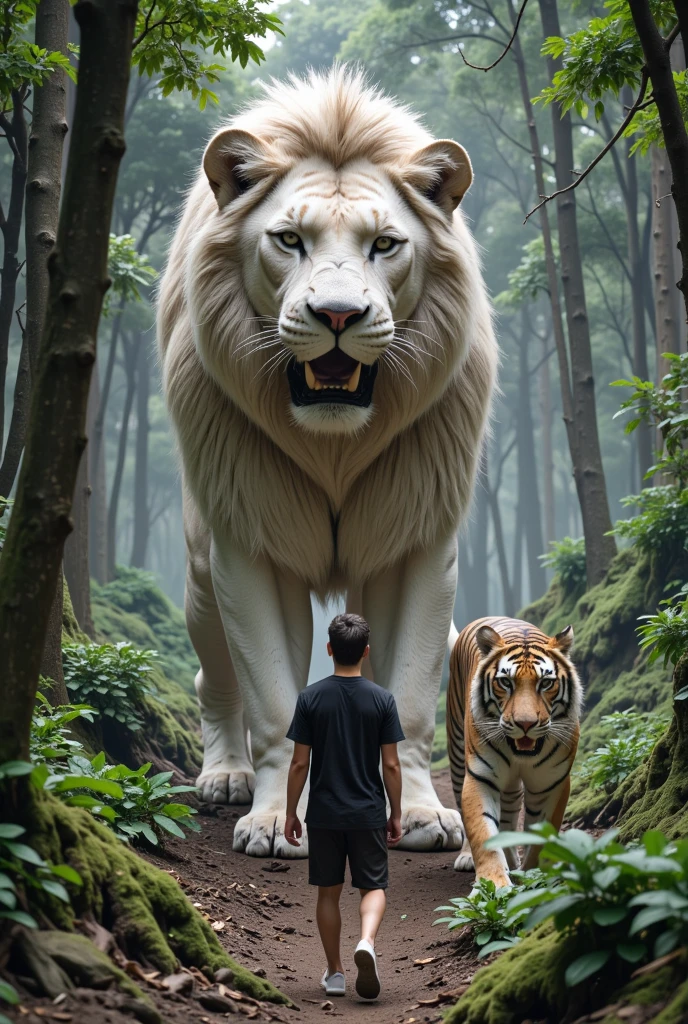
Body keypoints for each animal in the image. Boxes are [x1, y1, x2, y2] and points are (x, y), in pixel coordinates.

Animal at [158, 68, 497, 860]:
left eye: (384, 244)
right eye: (289, 240)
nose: (338, 315)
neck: (335, 441)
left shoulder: (417, 539)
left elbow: (409, 696)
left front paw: (424, 816)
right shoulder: (249, 540)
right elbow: (275, 702)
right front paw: (270, 822)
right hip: (199, 567)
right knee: (213, 678)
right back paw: (225, 776)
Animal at [446, 614, 581, 888]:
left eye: (546, 683)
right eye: (505, 682)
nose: (525, 724)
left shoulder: (551, 783)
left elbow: (541, 835)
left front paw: (535, 876)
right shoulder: (481, 777)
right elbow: (482, 831)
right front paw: (494, 884)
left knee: (509, 810)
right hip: (456, 752)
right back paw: (467, 857)